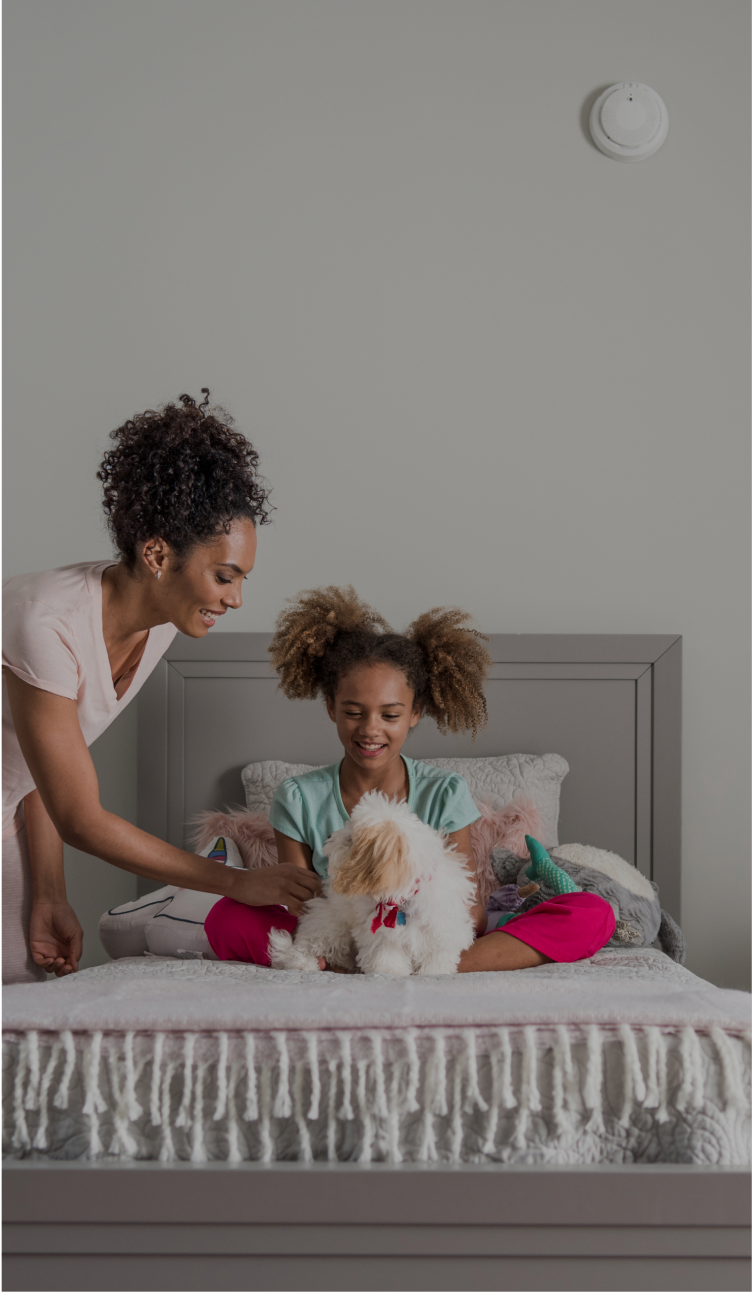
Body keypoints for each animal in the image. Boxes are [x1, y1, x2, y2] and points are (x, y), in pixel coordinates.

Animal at [268, 785, 475, 976]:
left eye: (350, 839)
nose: (329, 836)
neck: (402, 902)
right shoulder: (383, 936)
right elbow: (387, 954)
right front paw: (390, 971)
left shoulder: (441, 930)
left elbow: (437, 958)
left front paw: (433, 973)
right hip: (330, 925)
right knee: (307, 945)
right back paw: (303, 963)